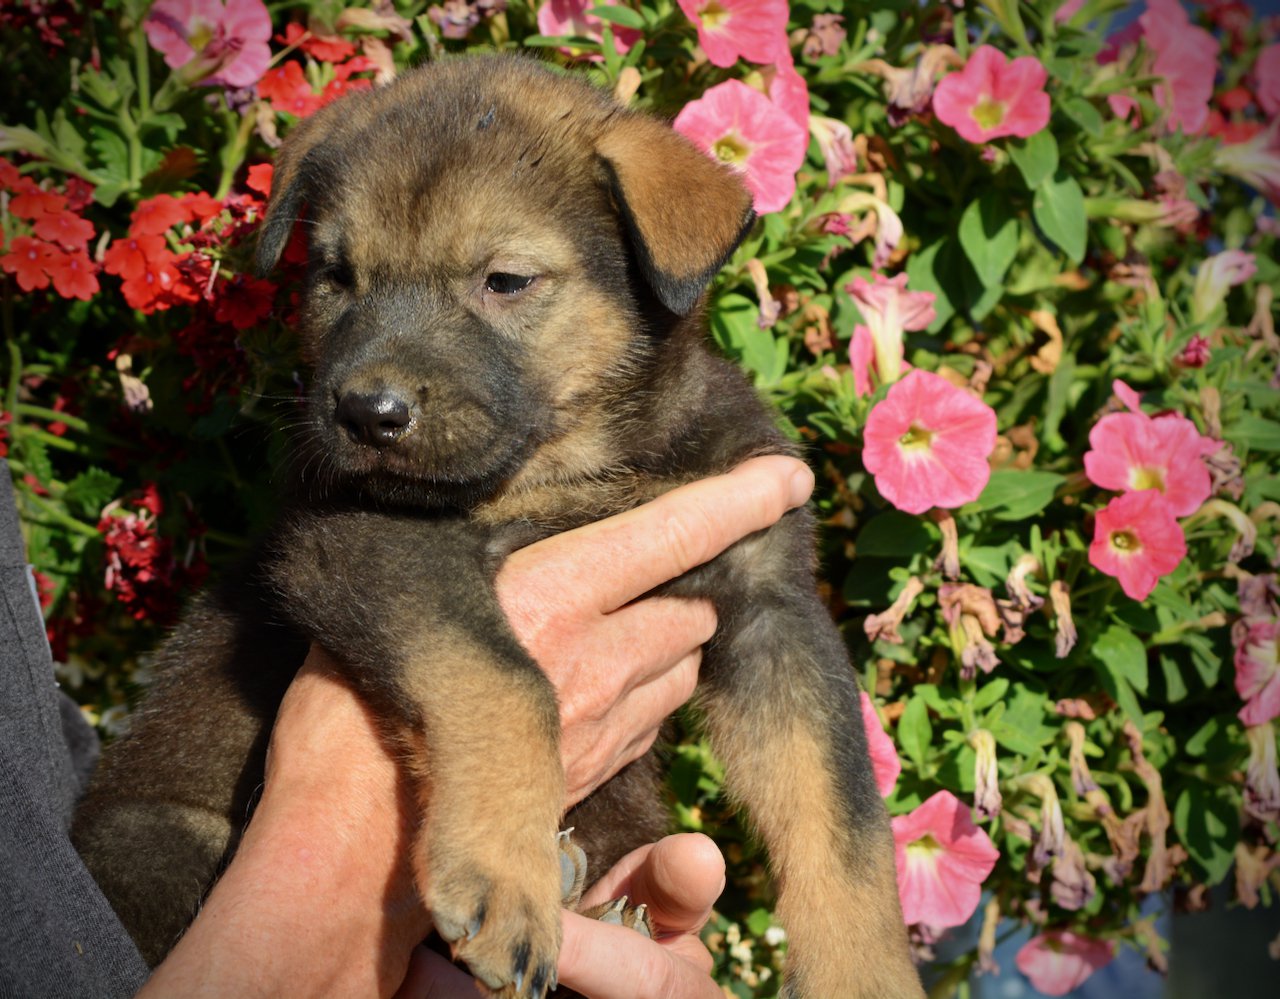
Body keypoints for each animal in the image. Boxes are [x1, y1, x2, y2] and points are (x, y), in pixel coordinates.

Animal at [72, 56, 921, 999]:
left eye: (506, 280)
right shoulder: (367, 539)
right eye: (337, 277)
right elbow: (507, 679)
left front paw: (868, 976)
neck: (579, 462)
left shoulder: (772, 603)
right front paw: (506, 880)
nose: (366, 413)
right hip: (157, 836)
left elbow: (843, 821)